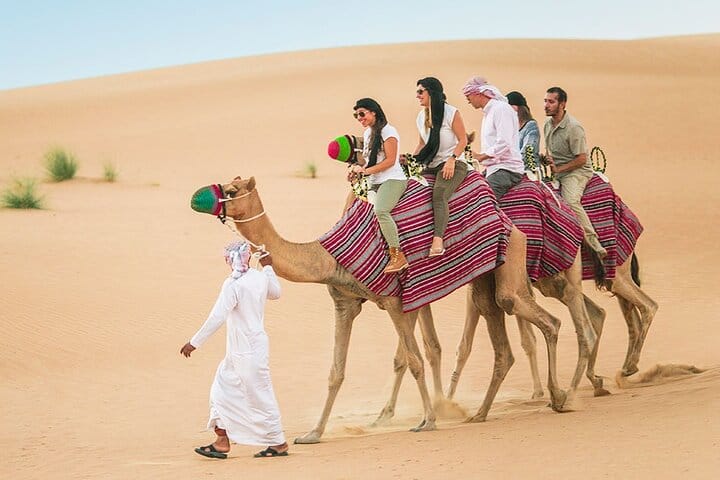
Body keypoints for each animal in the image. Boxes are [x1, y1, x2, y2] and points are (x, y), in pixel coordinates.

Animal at [190, 175, 571, 443]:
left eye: (233, 189)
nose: (198, 197)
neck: (326, 256)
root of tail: (505, 215)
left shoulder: (394, 301)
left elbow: (414, 360)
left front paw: (428, 421)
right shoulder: (344, 303)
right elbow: (336, 371)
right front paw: (313, 434)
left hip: (511, 258)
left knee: (542, 318)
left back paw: (558, 396)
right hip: (484, 277)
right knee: (503, 338)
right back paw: (482, 413)